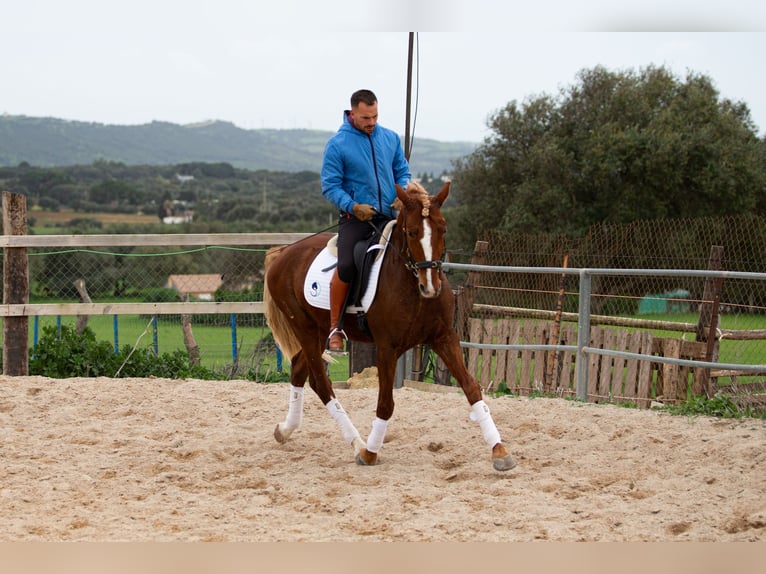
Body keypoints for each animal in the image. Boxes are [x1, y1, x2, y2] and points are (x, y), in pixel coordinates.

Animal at [262, 181, 516, 472]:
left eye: (443, 228)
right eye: (412, 231)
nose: (430, 287)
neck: (412, 287)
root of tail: (283, 253)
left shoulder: (444, 337)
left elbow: (471, 388)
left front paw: (499, 451)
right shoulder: (387, 348)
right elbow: (385, 403)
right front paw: (370, 453)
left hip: (317, 331)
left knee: (298, 369)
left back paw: (284, 430)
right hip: (305, 328)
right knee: (320, 383)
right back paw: (357, 443)